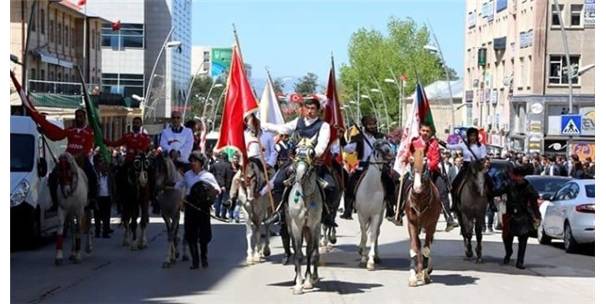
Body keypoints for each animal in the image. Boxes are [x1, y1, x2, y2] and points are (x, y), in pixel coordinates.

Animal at [356, 140, 394, 270]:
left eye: (388, 144)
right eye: (379, 146)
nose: (392, 153)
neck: (370, 188)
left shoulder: (376, 215)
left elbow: (372, 236)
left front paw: (371, 260)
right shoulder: (361, 215)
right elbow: (364, 235)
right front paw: (363, 258)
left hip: (381, 215)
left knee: (377, 232)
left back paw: (377, 257)